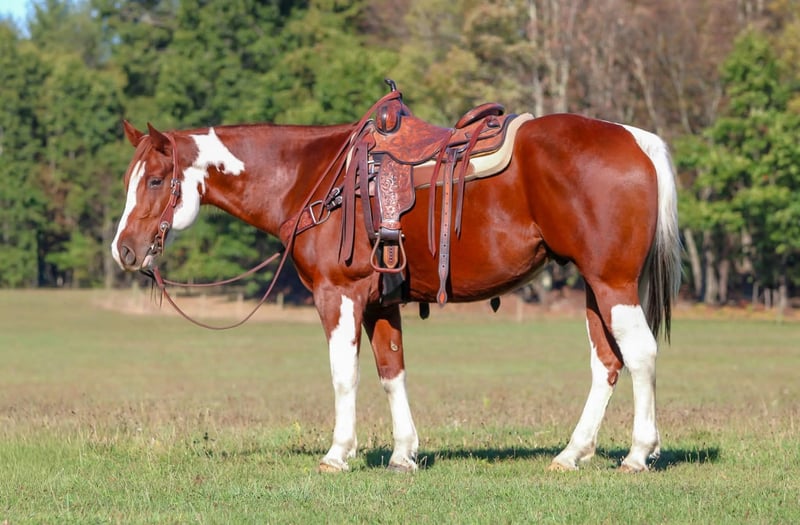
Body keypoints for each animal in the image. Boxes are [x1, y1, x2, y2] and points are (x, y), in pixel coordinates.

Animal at [110, 87, 681, 473]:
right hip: (595, 286)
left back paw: (637, 454)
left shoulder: (337, 295)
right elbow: (392, 370)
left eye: (156, 180)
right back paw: (571, 453)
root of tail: (636, 139)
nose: (124, 250)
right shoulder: (381, 300)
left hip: (612, 283)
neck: (313, 177)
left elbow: (345, 375)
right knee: (606, 362)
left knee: (641, 354)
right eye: (129, 181)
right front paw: (404, 454)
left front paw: (338, 454)